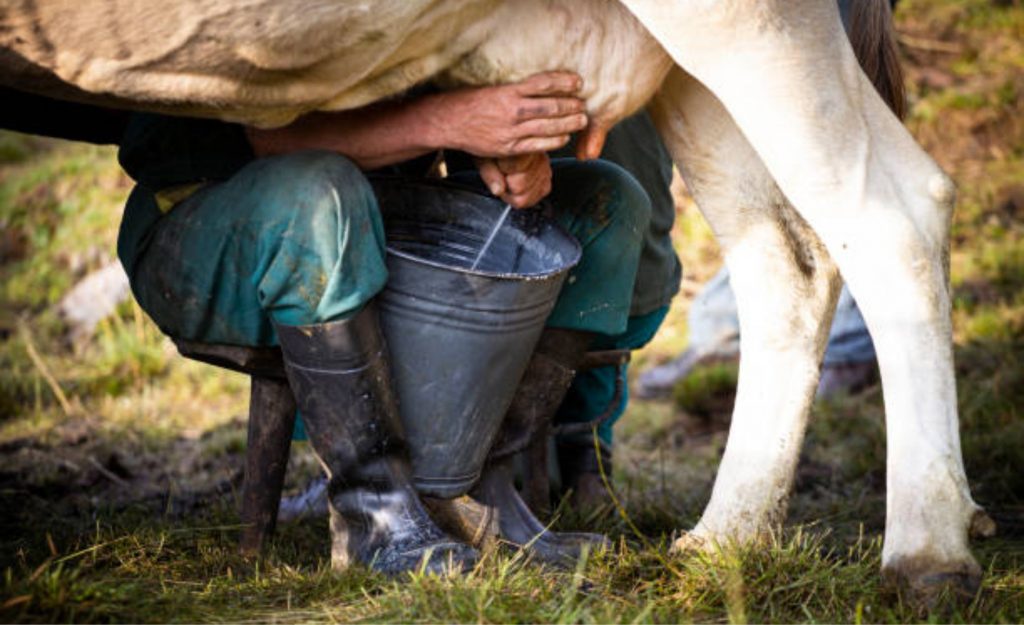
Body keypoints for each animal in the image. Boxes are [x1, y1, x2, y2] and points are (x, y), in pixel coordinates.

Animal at [0, 0, 991, 602]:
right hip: (694, 71)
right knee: (787, 253)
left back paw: (925, 556)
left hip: (748, 22)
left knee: (895, 216)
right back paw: (722, 540)